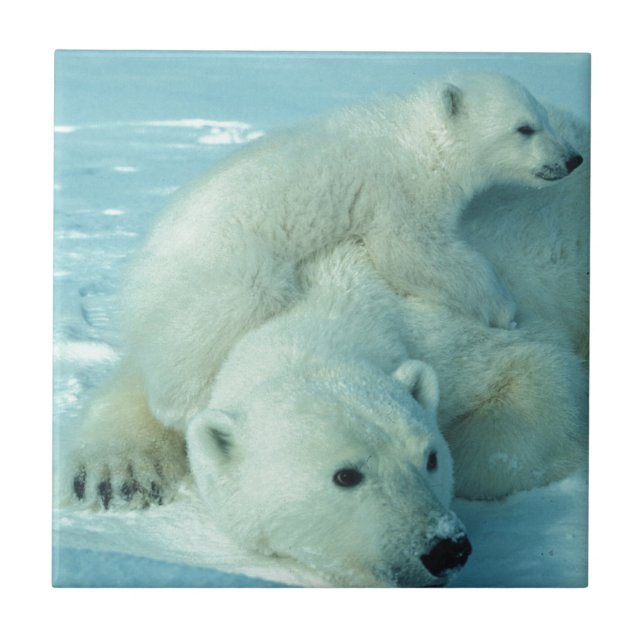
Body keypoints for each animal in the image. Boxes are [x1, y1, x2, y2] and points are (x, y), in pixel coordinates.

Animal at [117, 72, 583, 432]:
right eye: (524, 128)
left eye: (544, 117)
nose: (573, 159)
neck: (417, 139)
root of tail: (136, 276)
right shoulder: (399, 189)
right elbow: (411, 251)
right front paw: (504, 309)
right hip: (222, 264)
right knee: (220, 316)